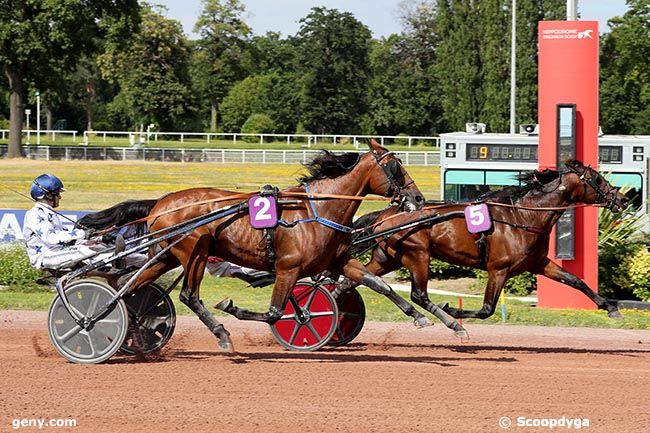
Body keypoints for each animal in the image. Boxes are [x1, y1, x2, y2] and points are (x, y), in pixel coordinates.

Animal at [77, 142, 450, 352]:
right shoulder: (288, 268)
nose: (418, 199)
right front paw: (234, 308)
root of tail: (160, 203)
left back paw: (125, 326)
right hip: (194, 250)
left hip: (167, 254)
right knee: (187, 296)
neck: (315, 210)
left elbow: (379, 284)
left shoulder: (339, 261)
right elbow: (273, 312)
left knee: (131, 289)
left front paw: (426, 318)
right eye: (396, 166)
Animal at [342, 159, 632, 320]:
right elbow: (487, 309)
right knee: (417, 294)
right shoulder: (498, 269)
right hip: (417, 255)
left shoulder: (538, 263)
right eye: (597, 179)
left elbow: (575, 280)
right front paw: (453, 310)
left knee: (353, 282)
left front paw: (610, 307)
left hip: (387, 259)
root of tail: (386, 213)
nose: (622, 199)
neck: (523, 216)